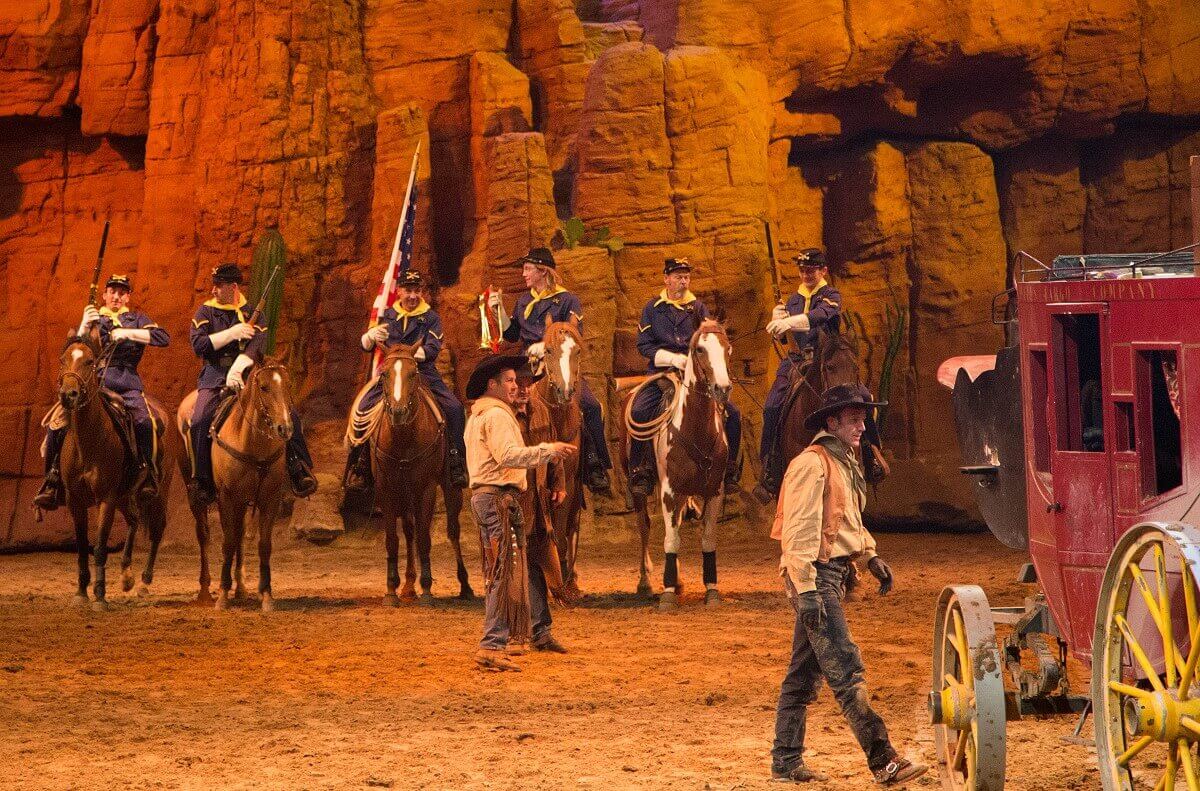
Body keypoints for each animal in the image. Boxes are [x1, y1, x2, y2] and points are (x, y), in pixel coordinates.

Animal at [52, 338, 174, 609]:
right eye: (63, 360)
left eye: (90, 361)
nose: (68, 395)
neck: (88, 441)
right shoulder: (75, 500)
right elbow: (82, 547)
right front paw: (81, 593)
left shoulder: (106, 498)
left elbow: (99, 546)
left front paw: (99, 596)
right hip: (124, 496)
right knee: (134, 520)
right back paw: (127, 575)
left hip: (158, 492)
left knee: (157, 529)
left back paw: (144, 582)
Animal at [180, 360, 297, 612]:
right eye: (263, 387)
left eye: (288, 385)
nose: (285, 428)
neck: (253, 445)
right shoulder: (226, 497)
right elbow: (228, 542)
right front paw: (223, 595)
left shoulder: (269, 498)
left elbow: (263, 544)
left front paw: (266, 595)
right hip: (195, 495)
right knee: (204, 535)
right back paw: (205, 591)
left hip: (243, 502)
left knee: (240, 533)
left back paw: (241, 587)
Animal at [624, 319, 734, 609]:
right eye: (699, 349)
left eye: (727, 347)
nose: (722, 388)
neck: (696, 429)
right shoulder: (669, 492)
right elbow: (670, 539)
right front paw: (667, 594)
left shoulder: (714, 491)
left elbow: (708, 538)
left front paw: (711, 589)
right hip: (639, 489)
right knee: (644, 527)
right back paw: (646, 582)